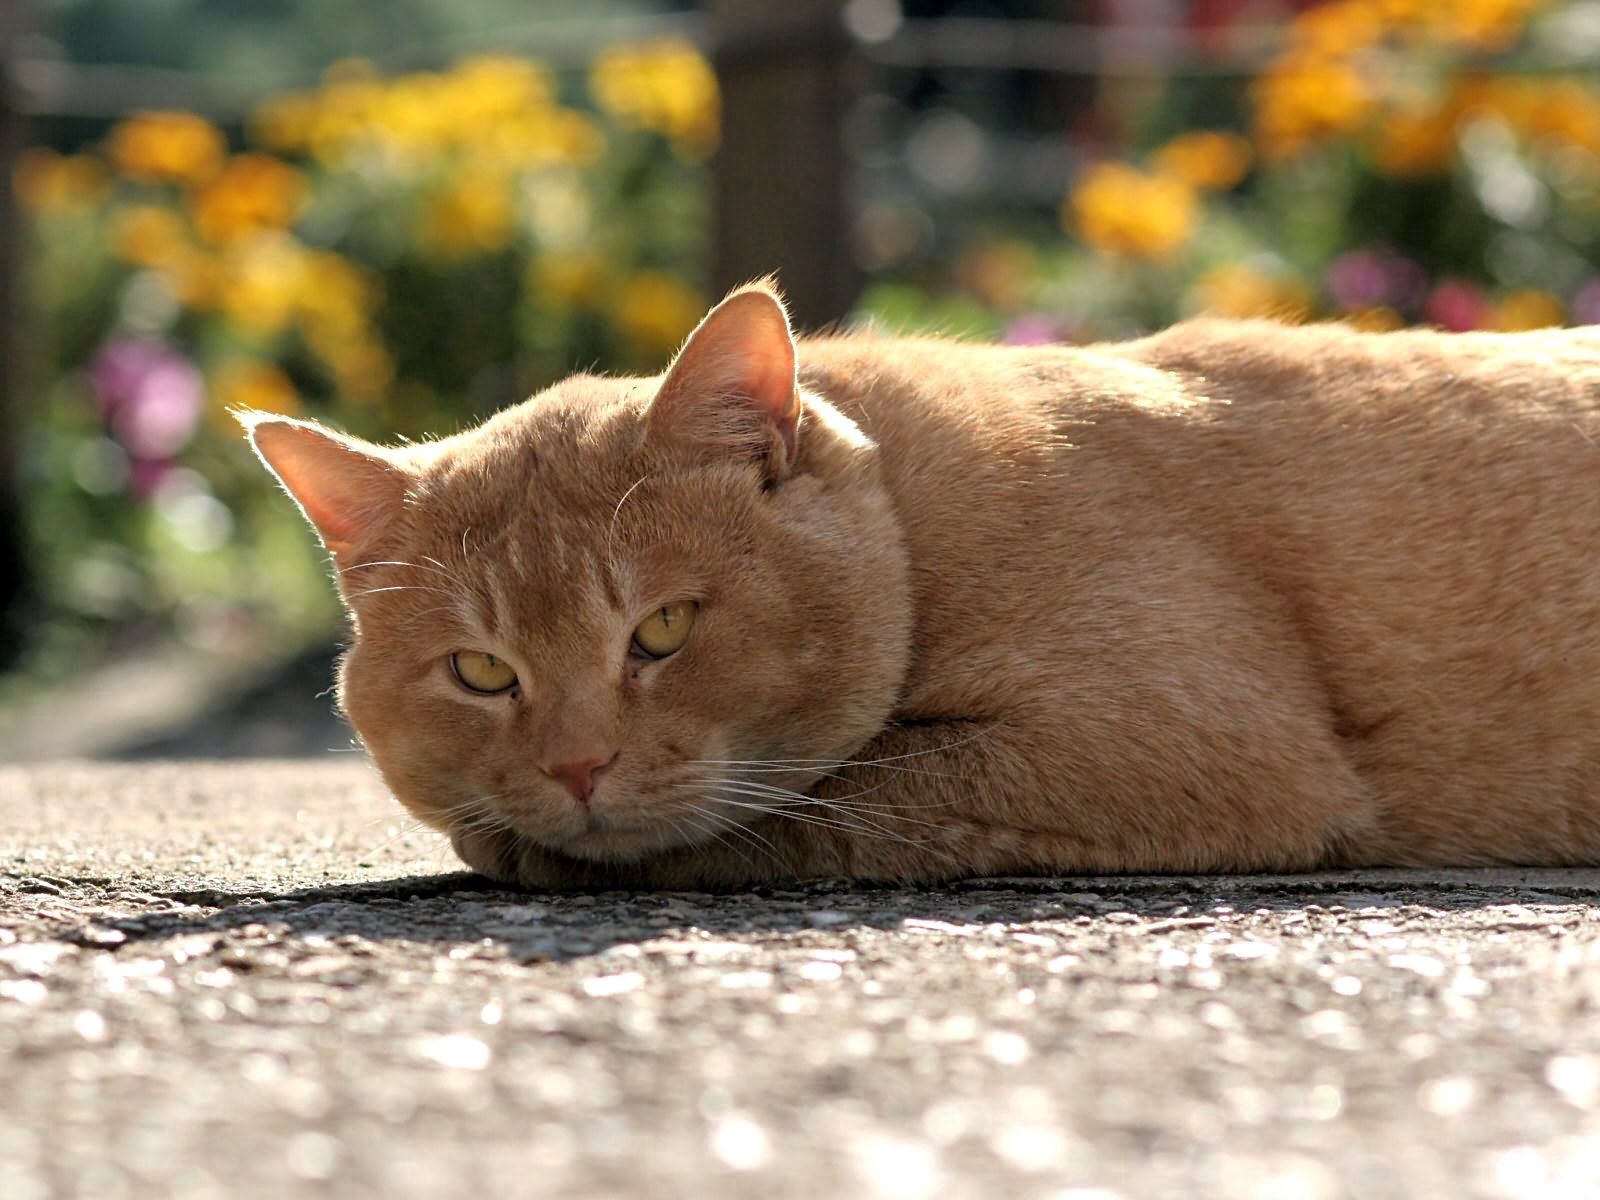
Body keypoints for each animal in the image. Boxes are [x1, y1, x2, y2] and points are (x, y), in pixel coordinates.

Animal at [243, 280, 1600, 883]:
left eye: (664, 629)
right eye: (481, 671)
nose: (578, 766)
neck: (908, 502)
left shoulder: (1194, 740)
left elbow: (833, 798)